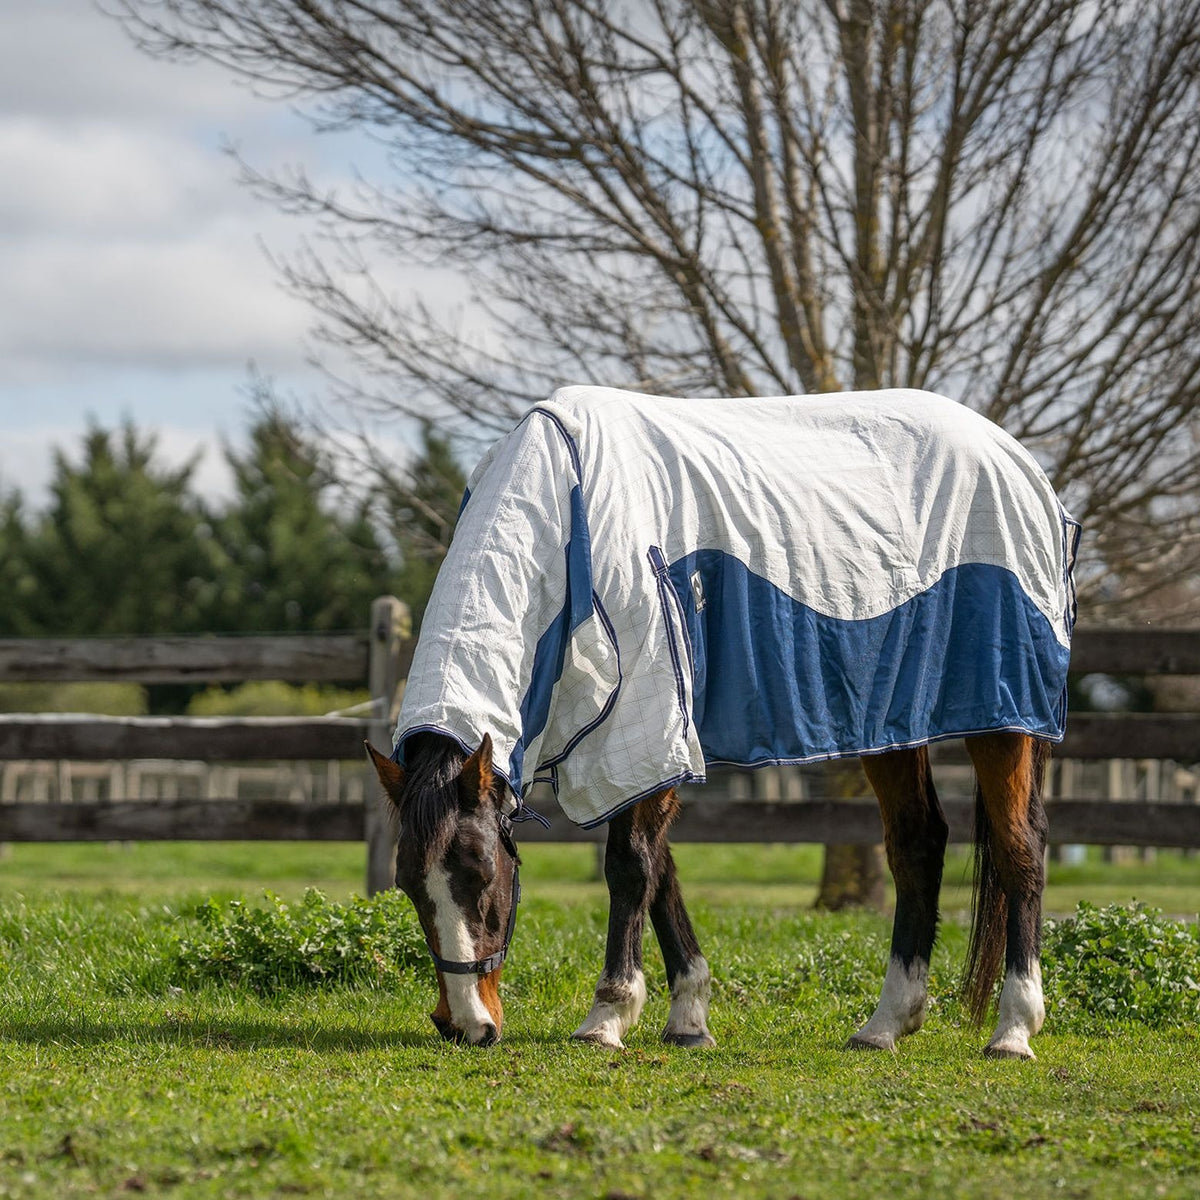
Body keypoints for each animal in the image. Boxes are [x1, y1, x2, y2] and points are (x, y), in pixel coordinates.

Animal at [367, 386, 1078, 1058]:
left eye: (482, 874)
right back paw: (886, 1023)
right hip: (893, 721)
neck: (569, 523)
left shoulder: (650, 729)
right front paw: (688, 1017)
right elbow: (659, 872)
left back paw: (1014, 1029)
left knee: (1020, 847)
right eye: (409, 887)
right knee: (917, 843)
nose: (465, 1025)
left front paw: (607, 1017)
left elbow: (631, 865)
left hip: (1002, 721)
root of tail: (1021, 467)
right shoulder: (650, 752)